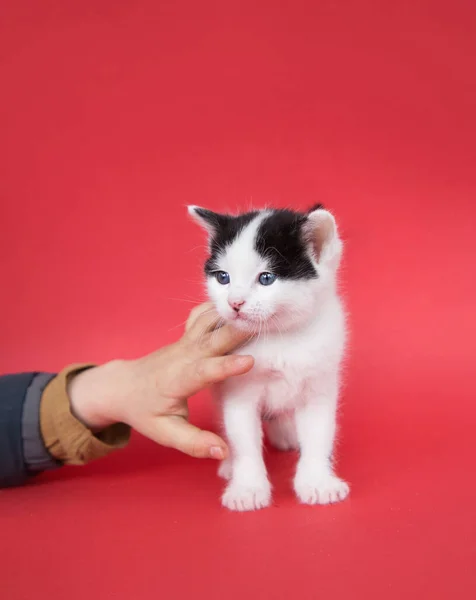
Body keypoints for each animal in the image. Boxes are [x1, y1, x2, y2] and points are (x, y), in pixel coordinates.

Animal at [190, 204, 350, 508]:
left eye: (266, 278)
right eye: (223, 277)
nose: (234, 303)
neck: (279, 337)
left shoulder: (320, 380)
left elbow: (319, 432)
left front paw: (317, 482)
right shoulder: (235, 383)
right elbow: (243, 439)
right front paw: (247, 488)